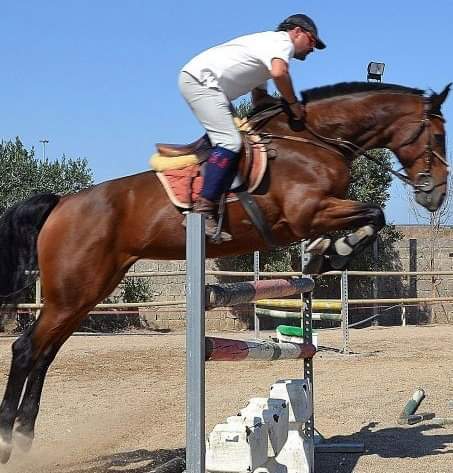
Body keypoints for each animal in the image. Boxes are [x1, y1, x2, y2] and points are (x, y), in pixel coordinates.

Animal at [0, 81, 446, 460]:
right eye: (438, 135)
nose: (436, 193)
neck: (313, 141)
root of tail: (62, 203)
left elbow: (370, 217)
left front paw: (322, 253)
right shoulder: (307, 212)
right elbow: (374, 213)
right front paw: (332, 253)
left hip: (86, 292)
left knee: (45, 353)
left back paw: (24, 436)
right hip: (72, 293)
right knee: (26, 349)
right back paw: (8, 438)